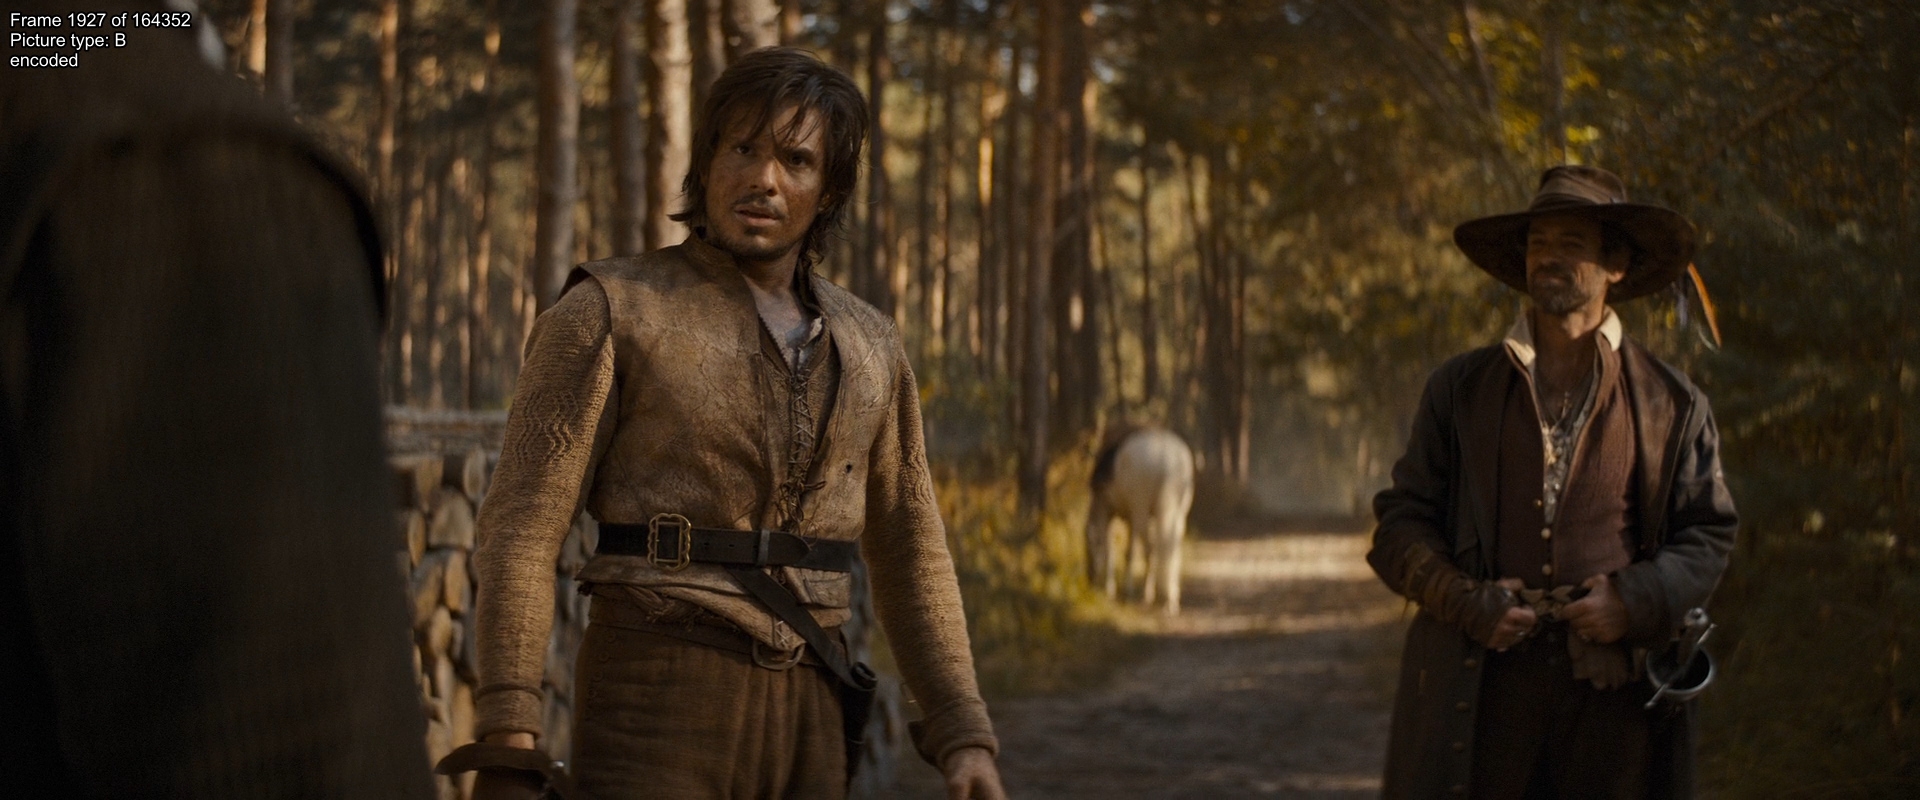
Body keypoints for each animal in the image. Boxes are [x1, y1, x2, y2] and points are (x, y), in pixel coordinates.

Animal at [1085, 426, 1195, 614]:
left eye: (1088, 549)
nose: (1090, 579)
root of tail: (1168, 460)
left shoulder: (1111, 513)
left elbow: (1113, 549)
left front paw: (1113, 590)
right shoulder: (1130, 518)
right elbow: (1125, 550)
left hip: (1141, 510)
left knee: (1150, 549)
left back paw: (1148, 595)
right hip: (1178, 512)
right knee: (1172, 547)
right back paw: (1171, 598)